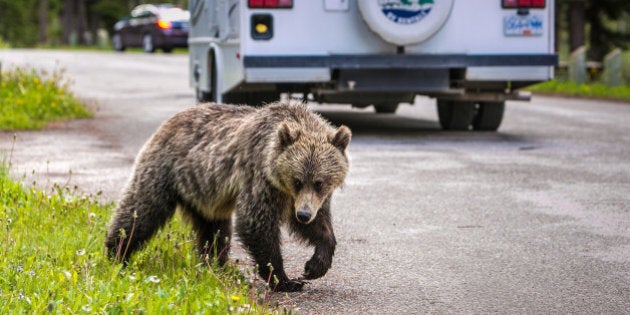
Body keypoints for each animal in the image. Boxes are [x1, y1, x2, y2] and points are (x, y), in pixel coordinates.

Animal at [103, 102, 350, 292]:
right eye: (297, 180)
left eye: (319, 182)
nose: (303, 214)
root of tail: (170, 120)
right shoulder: (261, 180)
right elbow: (256, 223)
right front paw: (285, 280)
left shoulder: (307, 199)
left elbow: (321, 227)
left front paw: (314, 266)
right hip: (165, 170)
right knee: (141, 209)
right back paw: (116, 253)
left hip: (204, 194)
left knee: (215, 230)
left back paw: (215, 264)